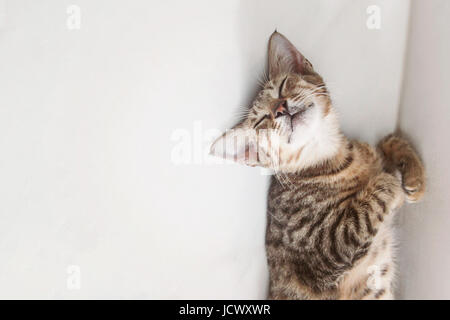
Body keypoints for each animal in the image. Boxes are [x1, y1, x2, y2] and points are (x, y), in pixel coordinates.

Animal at [211, 31, 426, 298]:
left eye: (283, 86)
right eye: (261, 121)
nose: (280, 108)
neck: (333, 152)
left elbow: (389, 140)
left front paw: (414, 176)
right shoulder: (326, 248)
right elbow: (367, 207)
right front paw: (392, 184)